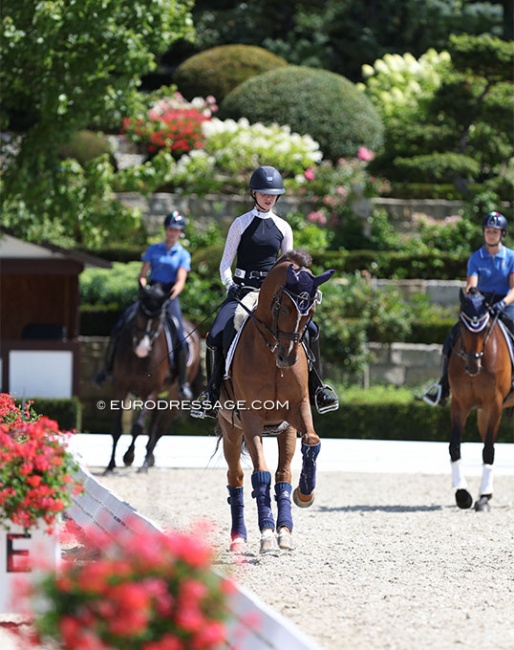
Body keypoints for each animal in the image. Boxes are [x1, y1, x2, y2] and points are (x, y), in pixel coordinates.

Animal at [104, 280, 200, 474]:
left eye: (158, 318)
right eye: (140, 313)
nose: (142, 348)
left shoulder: (151, 391)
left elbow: (138, 427)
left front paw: (129, 457)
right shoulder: (120, 387)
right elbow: (117, 428)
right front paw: (111, 465)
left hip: (173, 396)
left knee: (161, 428)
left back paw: (146, 462)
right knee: (155, 424)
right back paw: (149, 459)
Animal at [215, 248, 332, 552]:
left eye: (310, 312)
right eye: (286, 308)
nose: (287, 358)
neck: (270, 357)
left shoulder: (298, 410)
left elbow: (312, 442)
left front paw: (305, 494)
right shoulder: (251, 420)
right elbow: (260, 474)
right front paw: (266, 534)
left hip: (284, 431)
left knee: (283, 475)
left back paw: (285, 530)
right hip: (231, 431)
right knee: (236, 478)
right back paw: (239, 538)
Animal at [446, 288, 510, 512]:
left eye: (486, 328)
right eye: (462, 325)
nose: (473, 365)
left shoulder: (495, 405)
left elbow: (488, 450)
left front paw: (481, 499)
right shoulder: (459, 404)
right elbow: (455, 447)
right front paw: (462, 495)